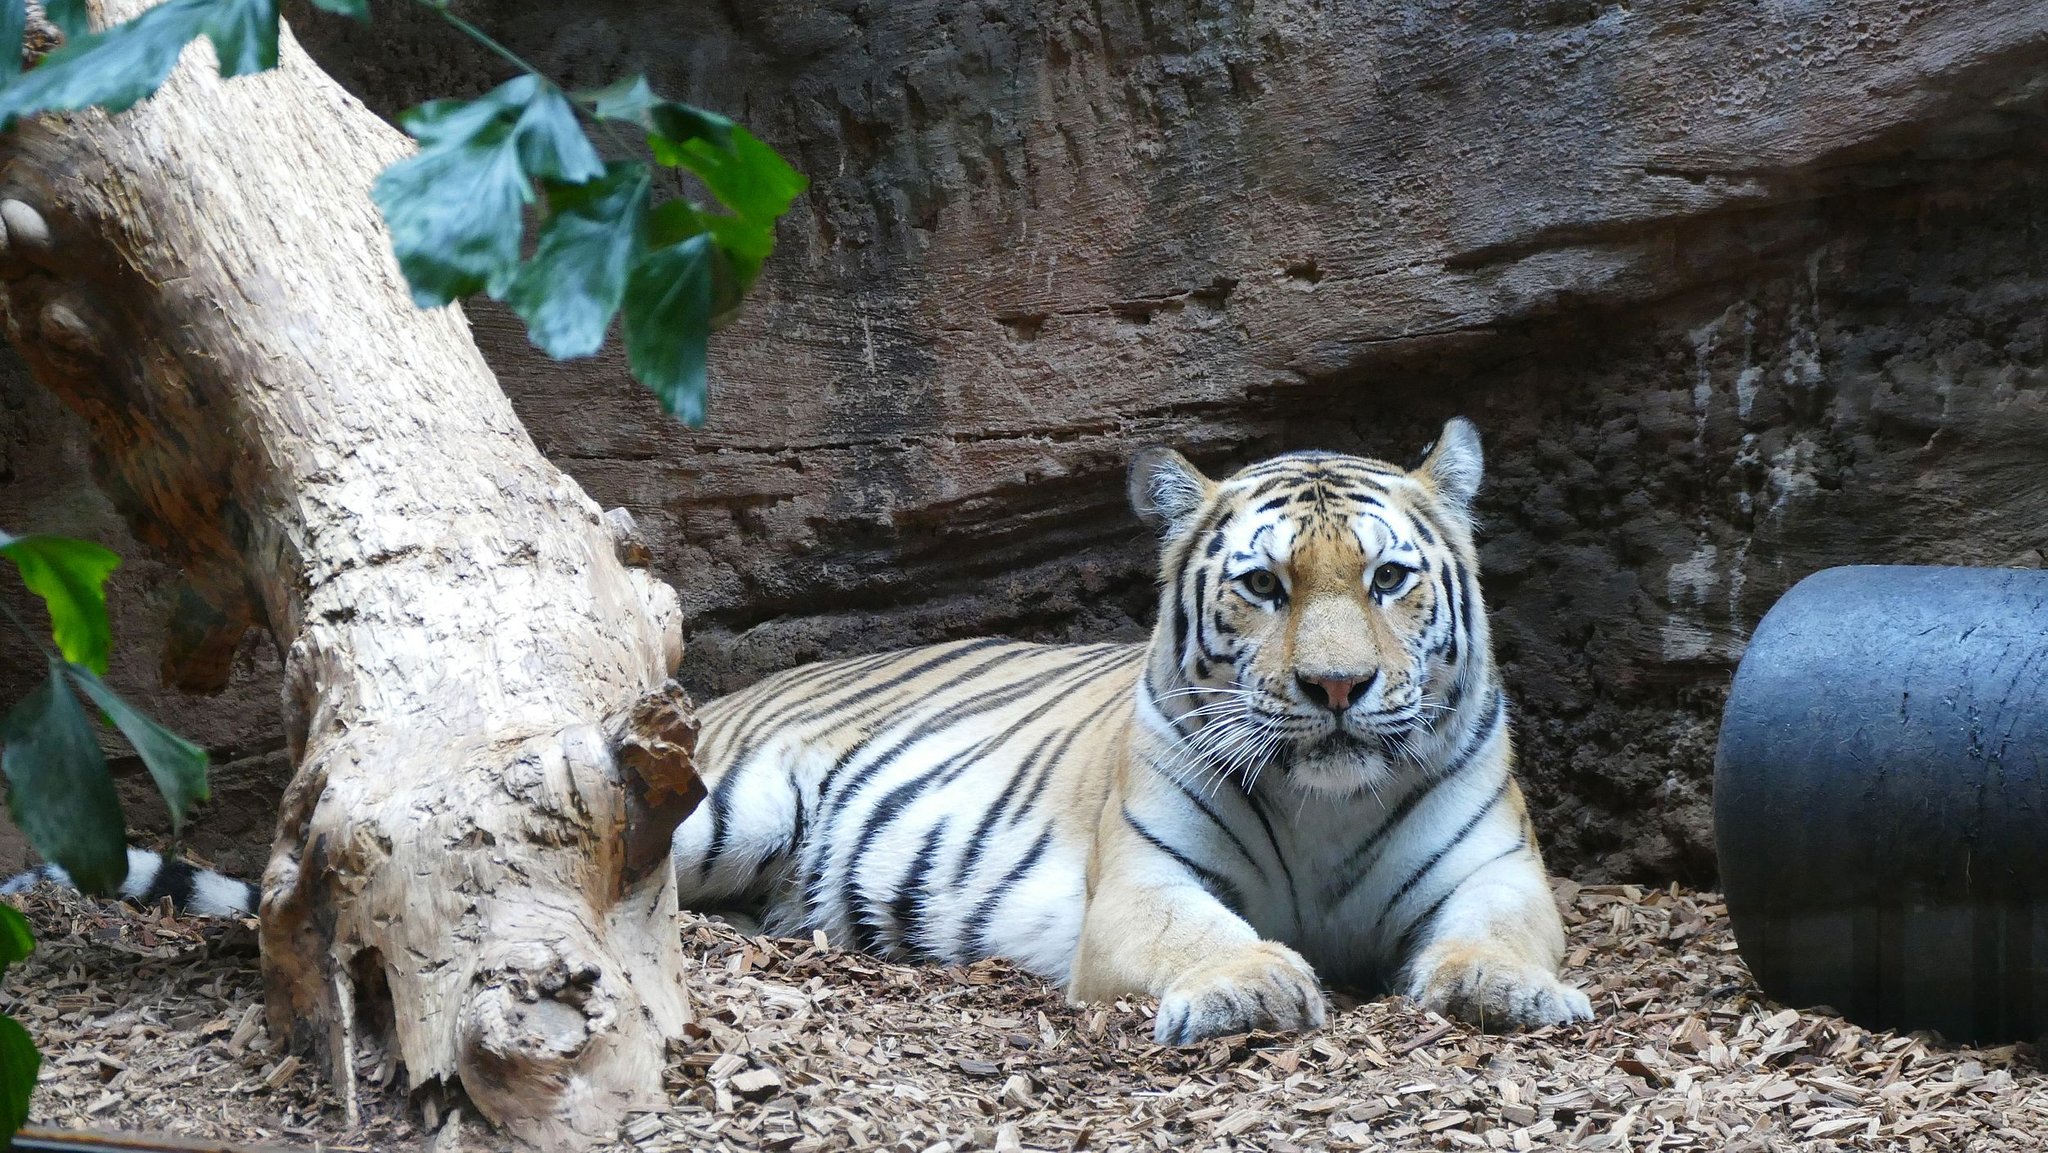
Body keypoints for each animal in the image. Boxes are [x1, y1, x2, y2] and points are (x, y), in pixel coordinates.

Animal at [671, 419, 1581, 1040]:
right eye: (1263, 584)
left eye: (1388, 577)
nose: (1335, 685)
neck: (1328, 806)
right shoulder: (1142, 882)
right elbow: (1199, 930)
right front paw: (1247, 986)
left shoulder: (1498, 869)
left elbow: (1498, 930)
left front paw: (1512, 988)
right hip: (727, 809)